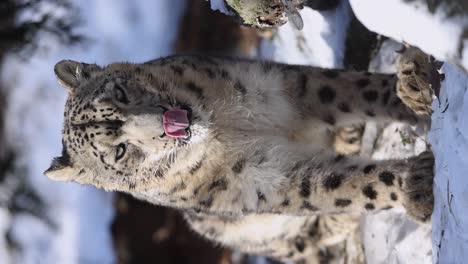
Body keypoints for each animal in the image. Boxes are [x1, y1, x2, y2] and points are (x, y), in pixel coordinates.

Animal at [45, 48, 436, 264]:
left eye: (121, 93)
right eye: (120, 151)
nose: (166, 122)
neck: (223, 124)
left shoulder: (285, 87)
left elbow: (355, 91)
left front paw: (414, 88)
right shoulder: (269, 179)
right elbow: (346, 185)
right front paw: (415, 185)